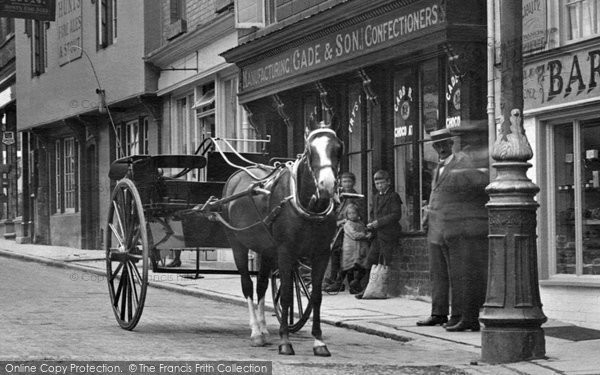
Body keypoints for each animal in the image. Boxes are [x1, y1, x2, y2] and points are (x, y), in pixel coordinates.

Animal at [220, 122, 342, 356]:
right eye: (310, 151)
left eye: (338, 148)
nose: (327, 185)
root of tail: (234, 177)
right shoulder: (285, 251)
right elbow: (285, 295)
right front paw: (285, 341)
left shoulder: (322, 252)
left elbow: (316, 296)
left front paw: (319, 341)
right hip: (236, 242)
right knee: (247, 285)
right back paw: (255, 332)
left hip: (266, 249)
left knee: (261, 286)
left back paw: (264, 330)